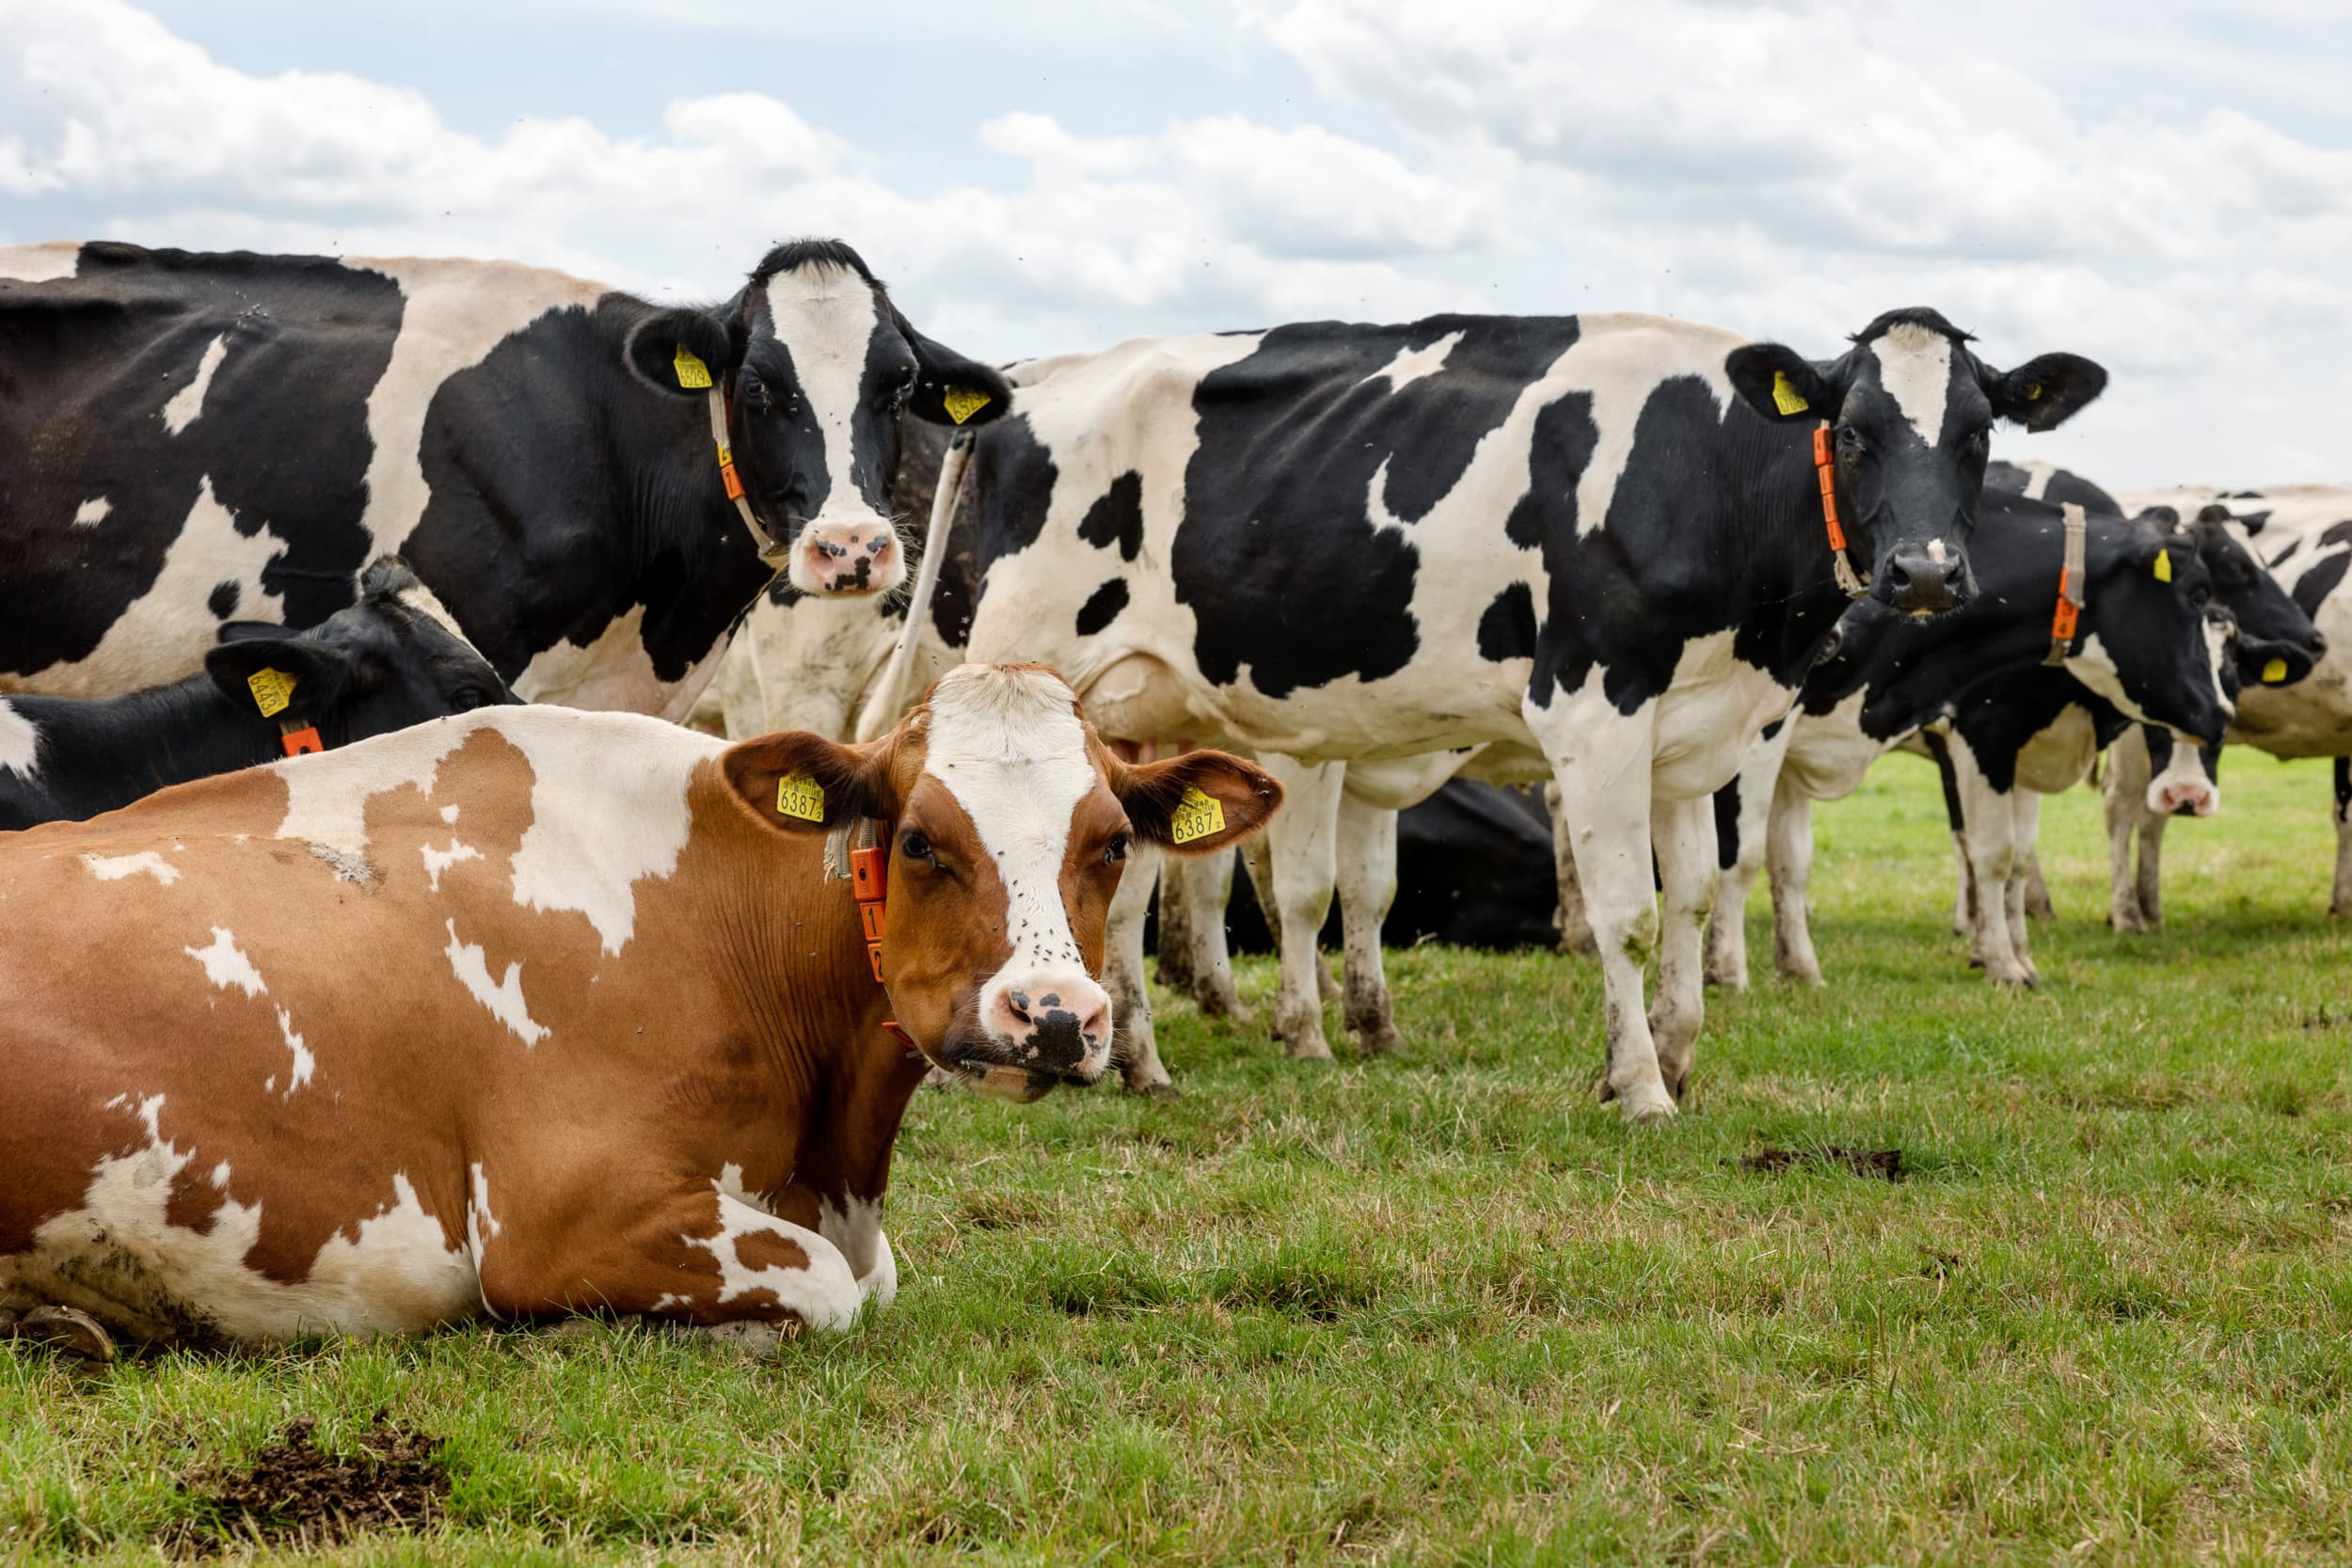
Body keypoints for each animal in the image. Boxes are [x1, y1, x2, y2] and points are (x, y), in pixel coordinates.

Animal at [0, 663, 1280, 1354]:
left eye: (1109, 842)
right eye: (921, 838)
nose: (1054, 1016)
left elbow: (865, 1278)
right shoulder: (557, 1215)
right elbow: (829, 1285)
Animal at [1703, 497, 2261, 989]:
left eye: (2234, 667)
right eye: (2196, 594)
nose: (2220, 715)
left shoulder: (2017, 748)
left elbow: (1792, 861)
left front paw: (1799, 968)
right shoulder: (1980, 731)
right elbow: (1741, 852)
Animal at [2105, 484, 2352, 921]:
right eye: (2237, 568)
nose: (2315, 641)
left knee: (2151, 813)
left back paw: (2149, 907)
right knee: (2121, 806)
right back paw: (2126, 912)